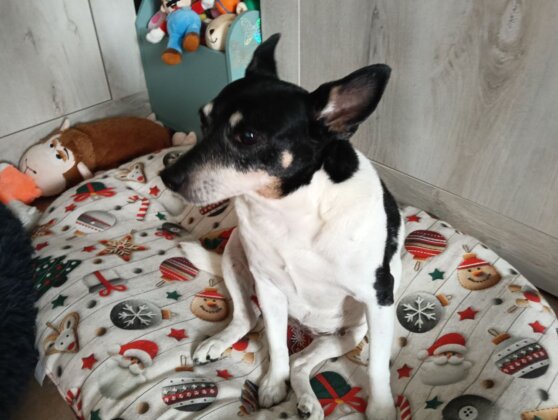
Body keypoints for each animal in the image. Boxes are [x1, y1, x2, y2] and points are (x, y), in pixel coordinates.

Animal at [161, 34, 403, 420]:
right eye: (202, 119)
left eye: (247, 136)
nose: (166, 177)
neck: (289, 207)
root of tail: (308, 327)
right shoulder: (269, 288)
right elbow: (276, 346)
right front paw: (274, 384)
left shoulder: (378, 298)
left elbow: (377, 367)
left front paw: (380, 408)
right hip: (233, 255)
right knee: (249, 317)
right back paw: (222, 343)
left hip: (350, 332)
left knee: (304, 361)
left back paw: (309, 400)